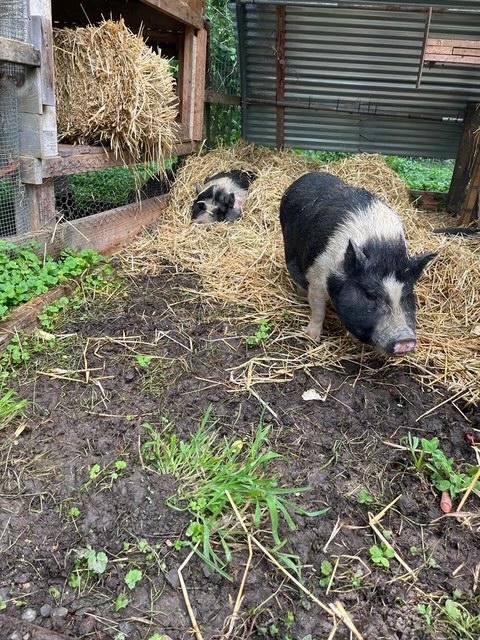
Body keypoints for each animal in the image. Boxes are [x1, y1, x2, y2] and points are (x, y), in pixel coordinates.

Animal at [279, 172, 437, 356]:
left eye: (407, 295)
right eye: (370, 295)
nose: (405, 340)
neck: (381, 248)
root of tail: (308, 175)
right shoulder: (317, 276)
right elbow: (318, 310)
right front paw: (312, 338)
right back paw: (301, 295)